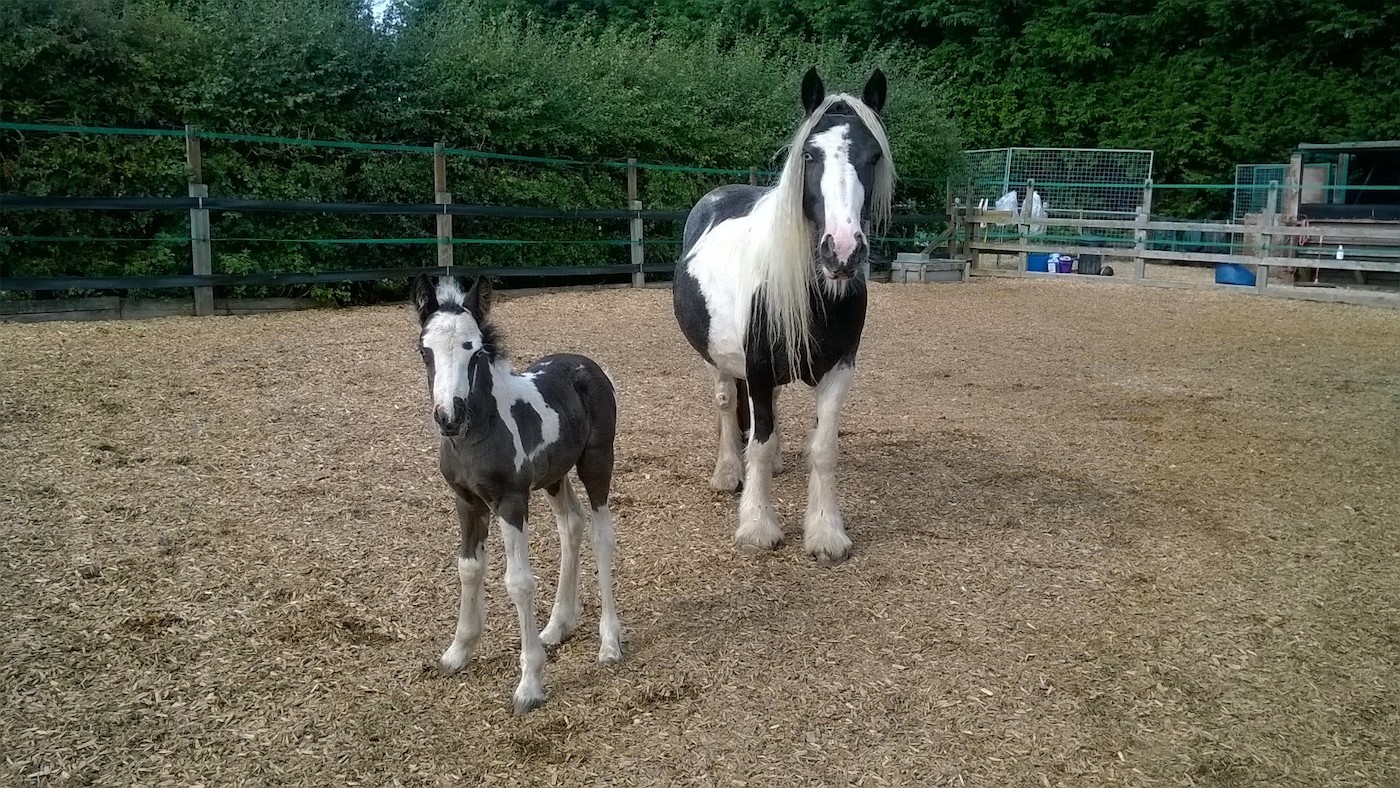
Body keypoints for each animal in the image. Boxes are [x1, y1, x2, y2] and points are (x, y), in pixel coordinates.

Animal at [409, 274, 622, 714]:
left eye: (473, 350)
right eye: (425, 350)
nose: (448, 416)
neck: (478, 431)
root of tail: (588, 365)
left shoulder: (510, 501)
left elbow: (519, 582)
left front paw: (529, 684)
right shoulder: (467, 502)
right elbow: (468, 568)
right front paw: (458, 651)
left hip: (596, 463)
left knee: (601, 535)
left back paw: (609, 642)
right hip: (554, 476)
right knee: (571, 525)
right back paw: (557, 626)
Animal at [672, 67, 895, 565]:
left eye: (873, 156)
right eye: (809, 154)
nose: (842, 251)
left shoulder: (839, 369)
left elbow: (823, 450)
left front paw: (827, 533)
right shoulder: (755, 367)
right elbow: (757, 439)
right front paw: (757, 526)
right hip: (719, 360)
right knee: (728, 405)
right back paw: (727, 472)